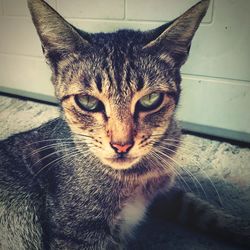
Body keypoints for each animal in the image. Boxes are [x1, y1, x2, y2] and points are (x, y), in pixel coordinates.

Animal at [0, 0, 250, 249]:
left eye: (151, 99)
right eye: (87, 101)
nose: (122, 145)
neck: (135, 177)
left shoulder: (165, 190)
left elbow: (201, 208)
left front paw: (240, 228)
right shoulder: (76, 235)